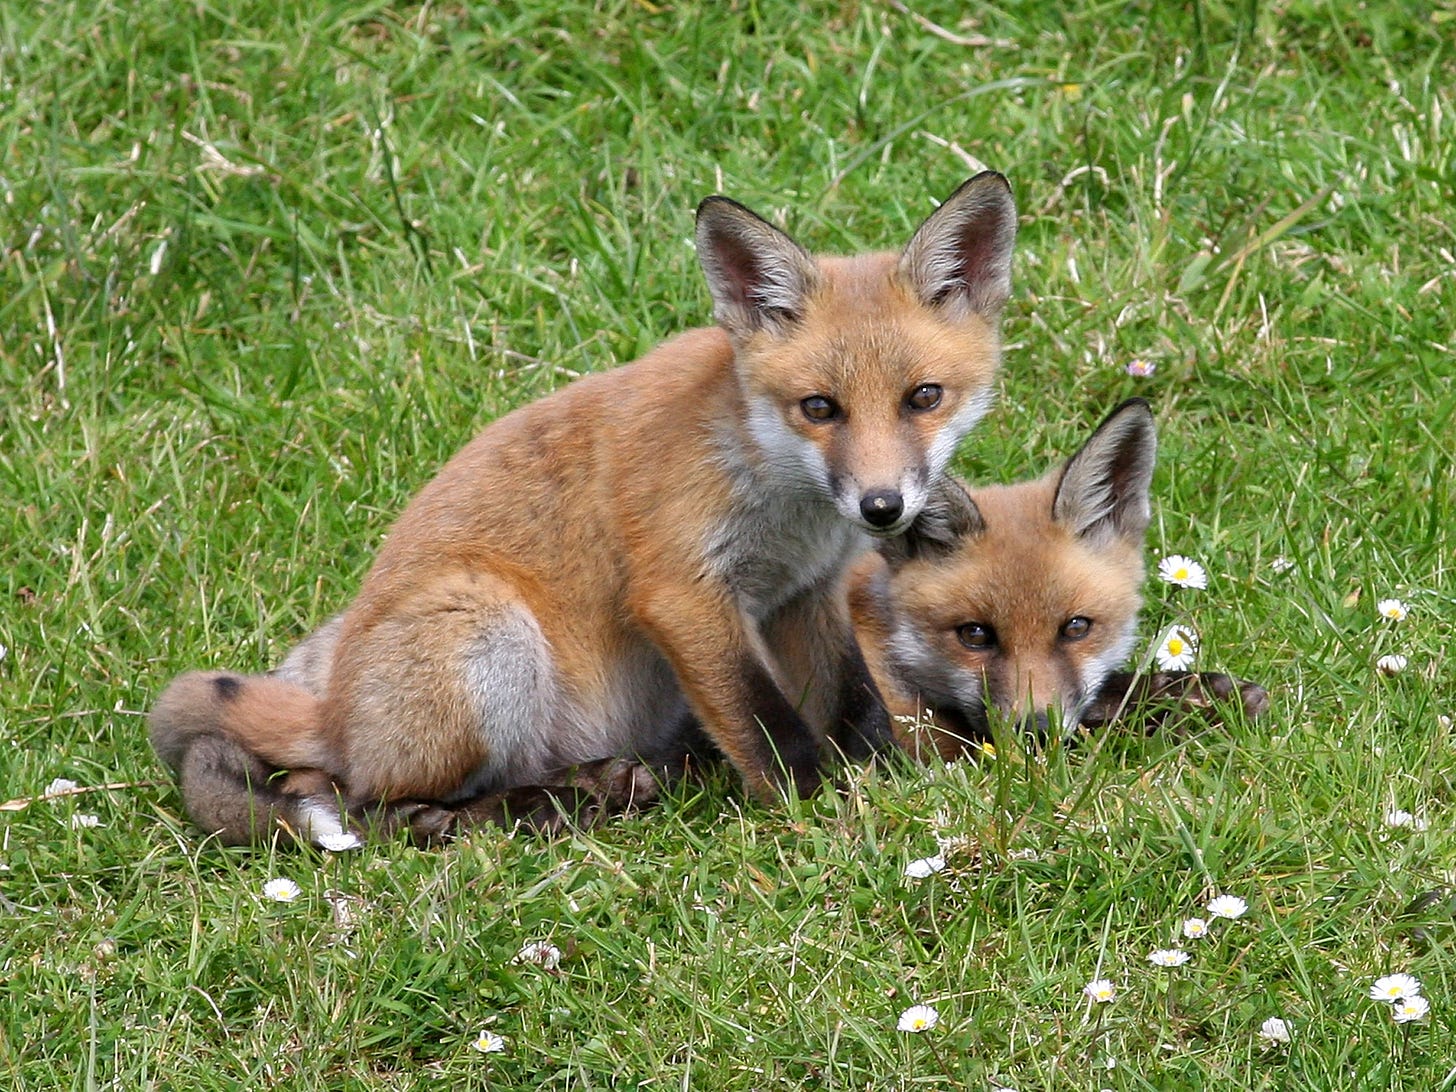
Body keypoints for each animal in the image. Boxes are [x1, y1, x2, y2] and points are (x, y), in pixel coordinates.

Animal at [149, 172, 1021, 847]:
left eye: (923, 398)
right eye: (820, 408)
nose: (881, 507)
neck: (778, 488)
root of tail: (331, 710)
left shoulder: (805, 591)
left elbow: (851, 702)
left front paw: (890, 778)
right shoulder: (683, 593)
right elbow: (767, 724)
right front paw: (827, 810)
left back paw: (603, 785)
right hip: (485, 633)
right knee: (359, 797)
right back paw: (524, 812)